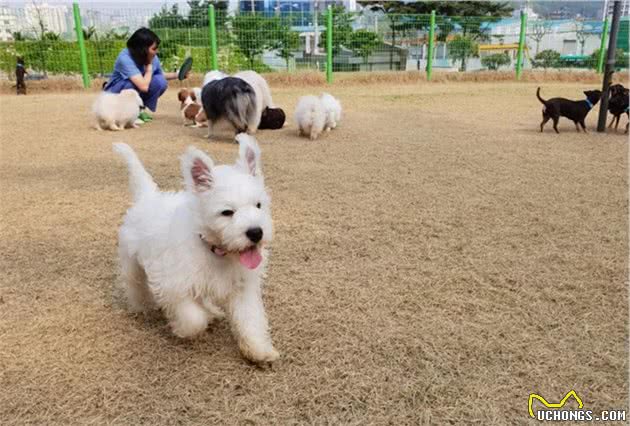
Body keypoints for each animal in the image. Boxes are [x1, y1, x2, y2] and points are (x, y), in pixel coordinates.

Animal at [113, 134, 278, 362]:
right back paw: (141, 306)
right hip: (132, 264)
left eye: (258, 205)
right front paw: (183, 329)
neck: (215, 251)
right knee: (135, 284)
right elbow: (194, 318)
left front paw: (258, 349)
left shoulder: (242, 288)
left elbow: (250, 319)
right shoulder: (174, 285)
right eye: (227, 212)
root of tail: (148, 196)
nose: (255, 233)